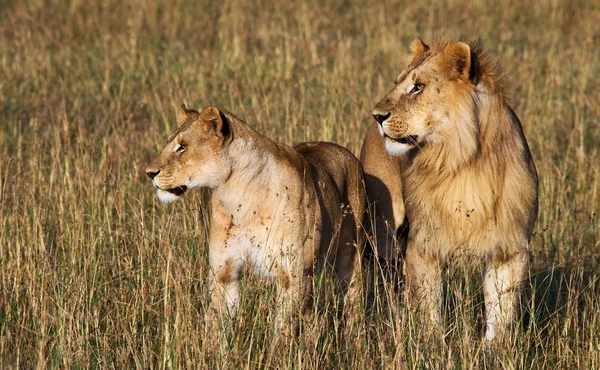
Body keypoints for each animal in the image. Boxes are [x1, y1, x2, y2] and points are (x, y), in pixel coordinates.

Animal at [148, 105, 368, 336]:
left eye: (182, 147)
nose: (149, 173)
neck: (238, 195)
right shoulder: (223, 271)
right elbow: (217, 321)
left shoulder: (294, 276)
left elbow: (283, 329)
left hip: (350, 258)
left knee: (352, 301)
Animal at [366, 37, 540, 342]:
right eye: (398, 82)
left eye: (418, 87)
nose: (376, 116)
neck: (461, 161)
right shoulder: (423, 244)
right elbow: (428, 307)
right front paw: (433, 345)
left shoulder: (511, 247)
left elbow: (501, 312)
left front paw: (493, 349)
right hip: (383, 234)